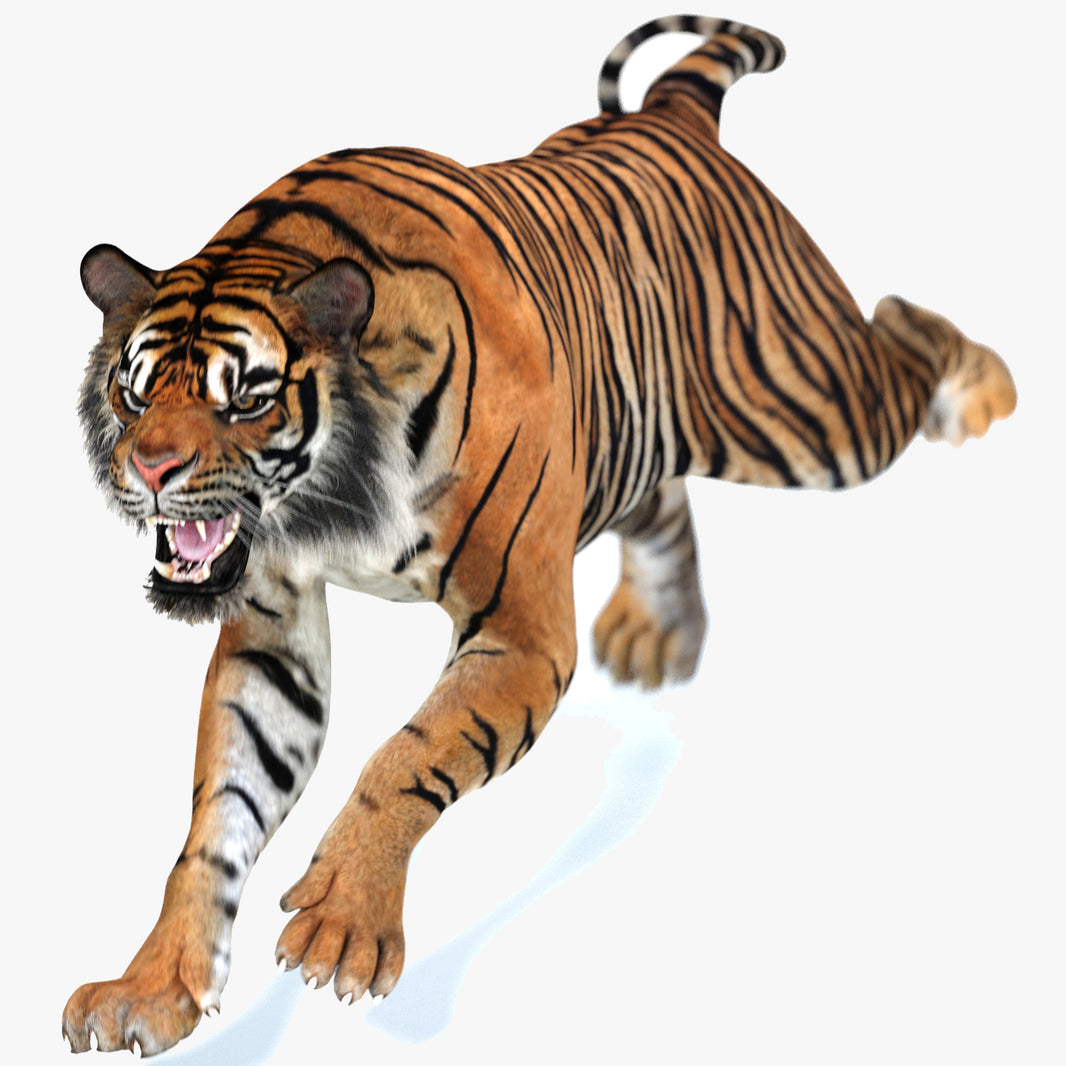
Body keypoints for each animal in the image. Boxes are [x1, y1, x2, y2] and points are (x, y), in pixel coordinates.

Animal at [62, 14, 1015, 1057]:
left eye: (246, 399)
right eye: (135, 391)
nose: (150, 470)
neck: (330, 499)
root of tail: (672, 110)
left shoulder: (521, 626)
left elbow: (409, 752)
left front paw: (344, 922)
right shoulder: (274, 629)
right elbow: (219, 816)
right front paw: (150, 987)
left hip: (806, 407)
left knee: (901, 331)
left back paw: (986, 391)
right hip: (629, 428)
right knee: (665, 499)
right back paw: (658, 634)